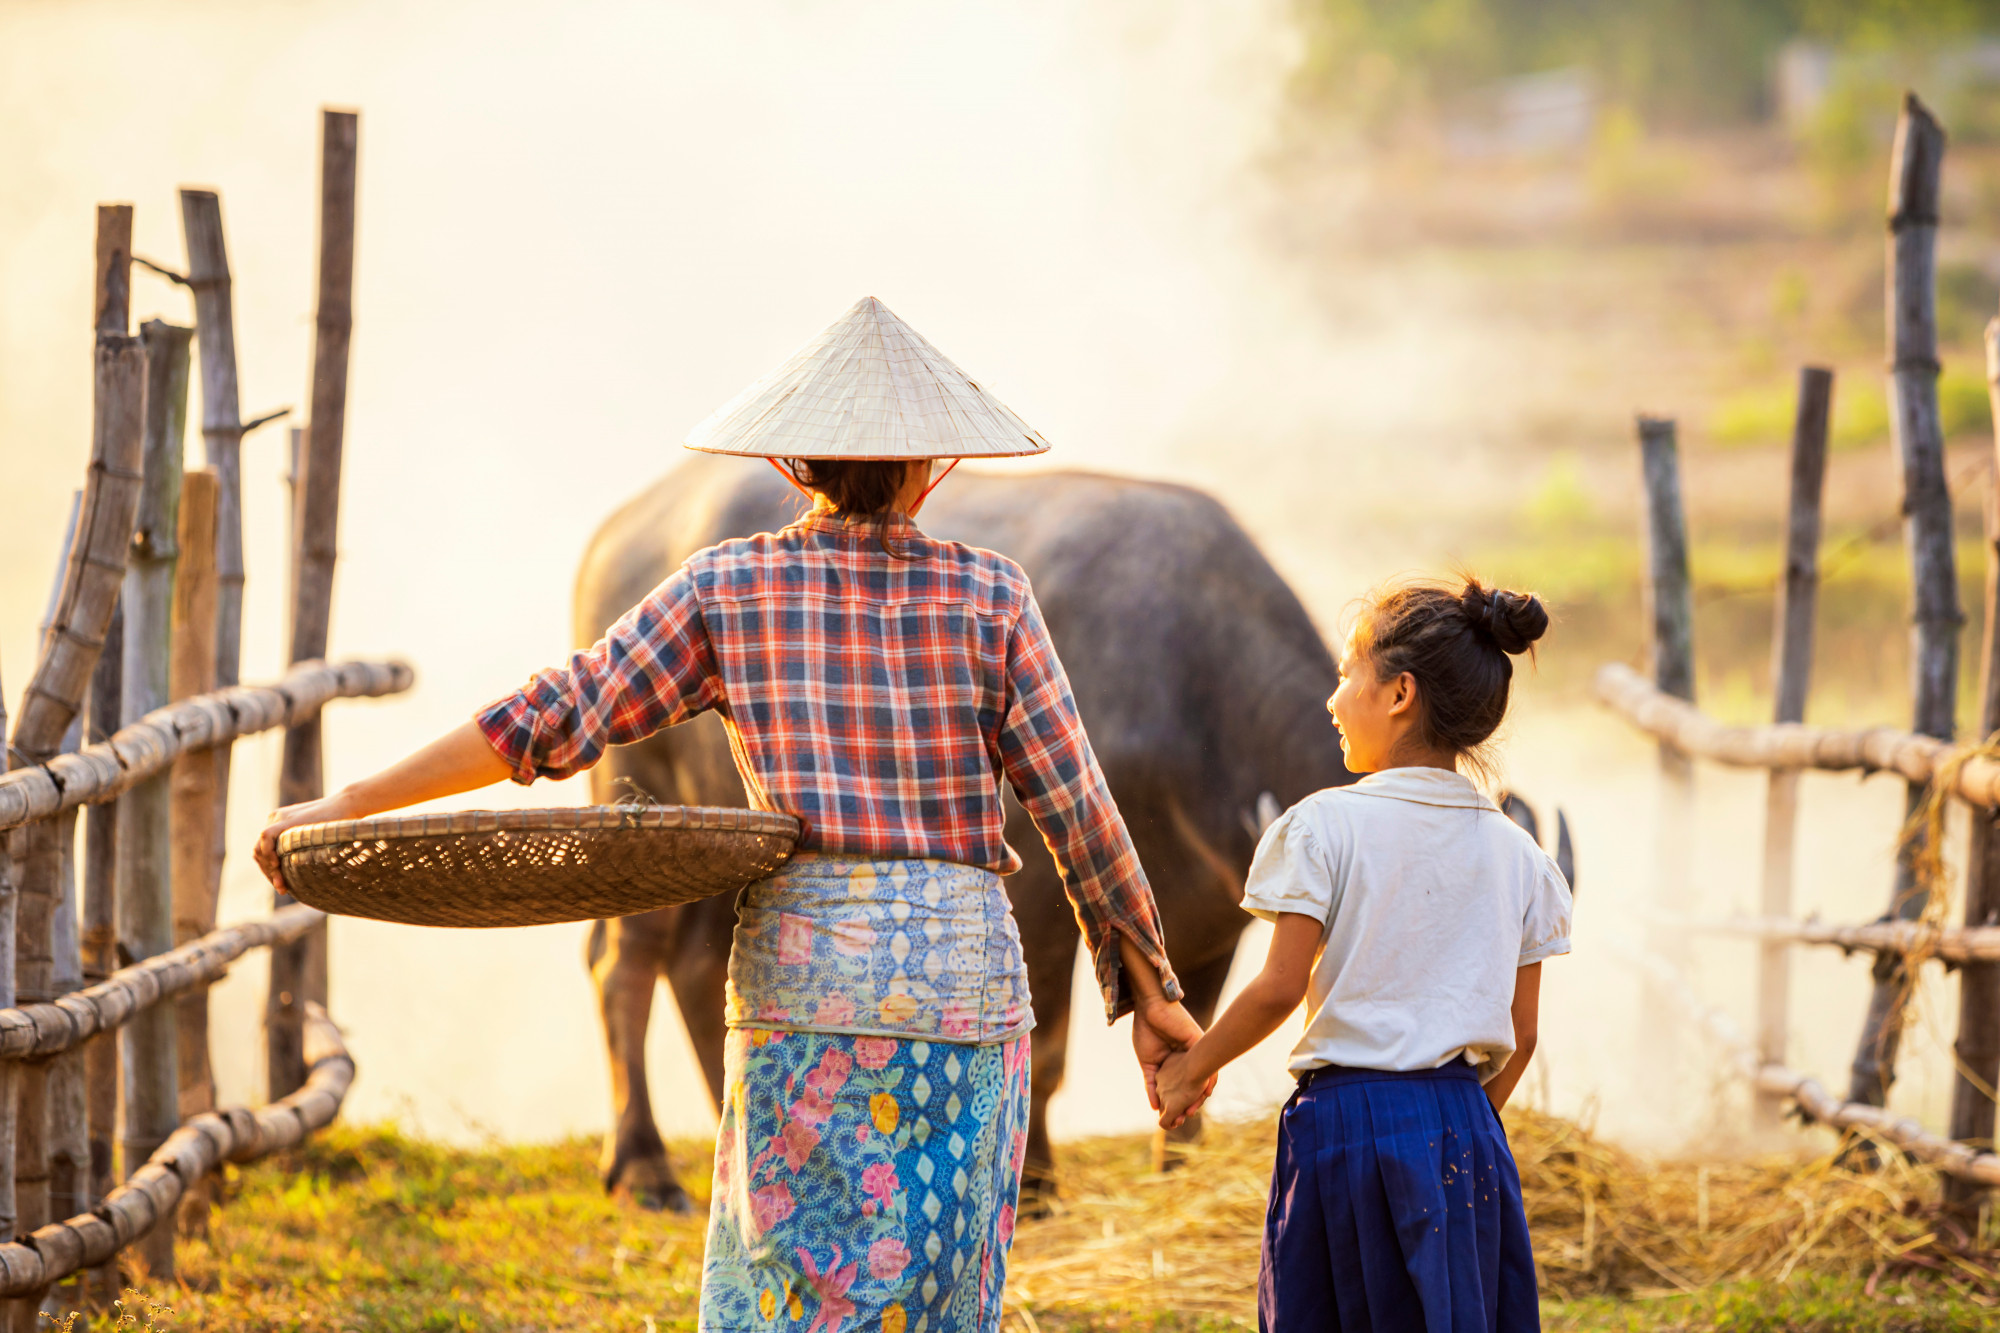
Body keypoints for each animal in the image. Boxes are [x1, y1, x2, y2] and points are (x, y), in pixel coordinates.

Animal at [572, 452, 1520, 1208]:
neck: (1186, 684)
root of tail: (613, 535)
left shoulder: (1208, 918)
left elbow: (1195, 1014)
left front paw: (1177, 1159)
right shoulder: (1043, 894)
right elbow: (1054, 1047)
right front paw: (1033, 1185)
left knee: (701, 969)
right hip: (646, 804)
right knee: (625, 967)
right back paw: (645, 1165)